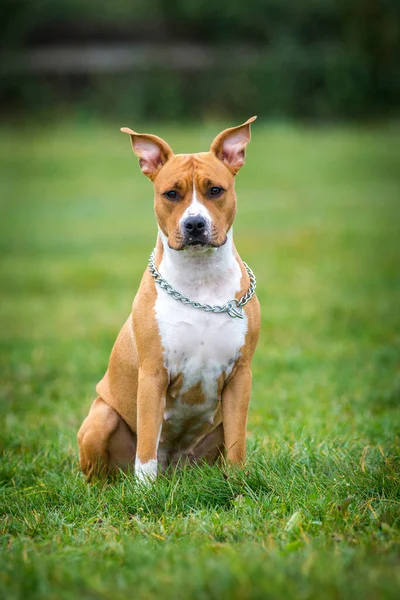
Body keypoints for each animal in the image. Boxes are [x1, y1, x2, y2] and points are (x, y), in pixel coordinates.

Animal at [77, 116, 260, 482]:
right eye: (171, 194)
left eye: (215, 190)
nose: (195, 224)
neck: (201, 280)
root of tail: (174, 465)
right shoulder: (152, 375)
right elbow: (147, 443)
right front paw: (144, 491)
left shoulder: (240, 377)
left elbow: (237, 444)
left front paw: (238, 483)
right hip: (101, 418)